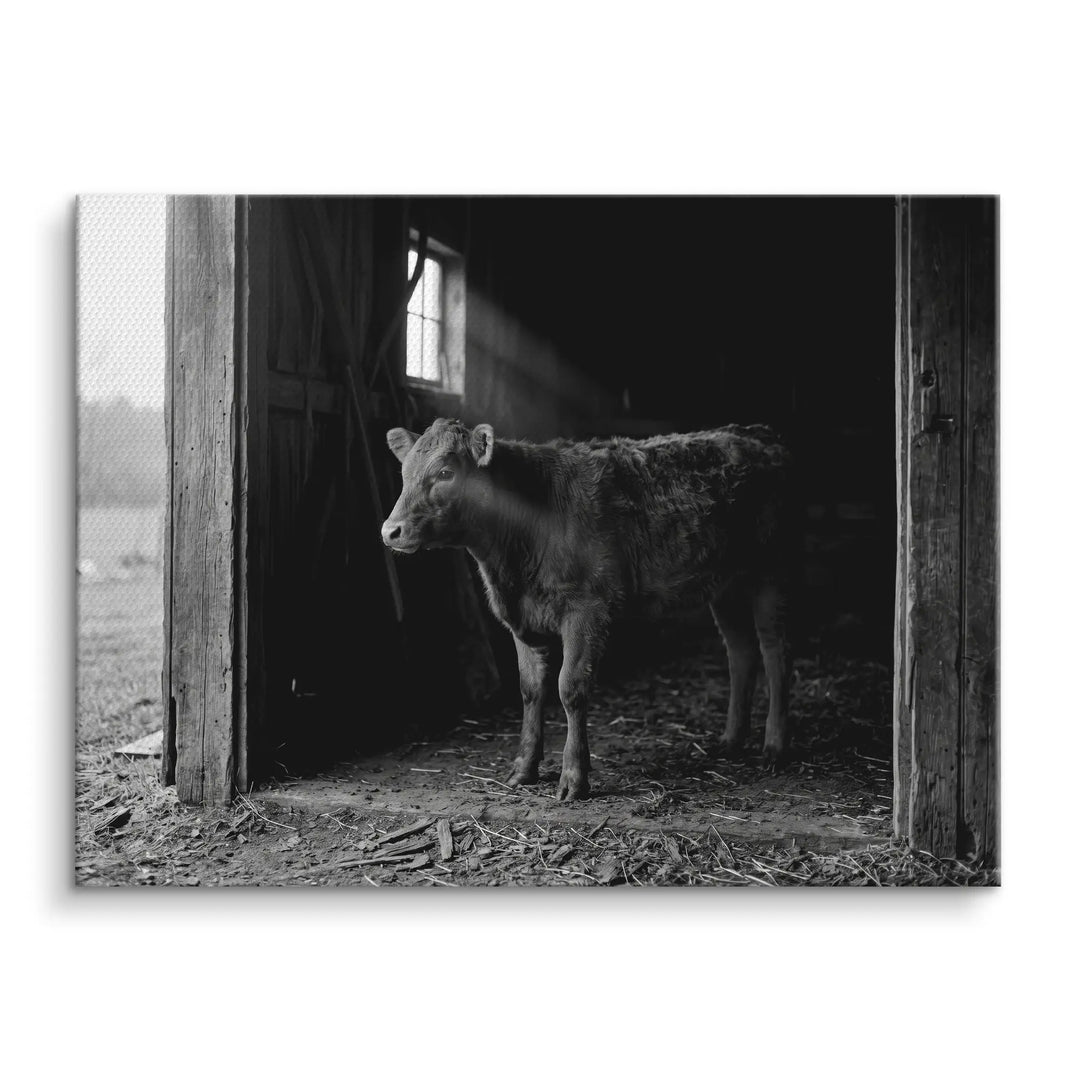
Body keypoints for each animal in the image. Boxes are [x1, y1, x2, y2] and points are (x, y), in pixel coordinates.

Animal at [381, 417, 793, 801]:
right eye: (403, 473)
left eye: (445, 472)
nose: (390, 531)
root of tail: (753, 432)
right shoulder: (521, 619)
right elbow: (530, 690)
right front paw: (523, 769)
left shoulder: (586, 609)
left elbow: (570, 687)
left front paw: (573, 778)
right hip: (725, 584)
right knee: (740, 652)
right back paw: (732, 740)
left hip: (771, 570)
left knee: (775, 652)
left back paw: (774, 747)